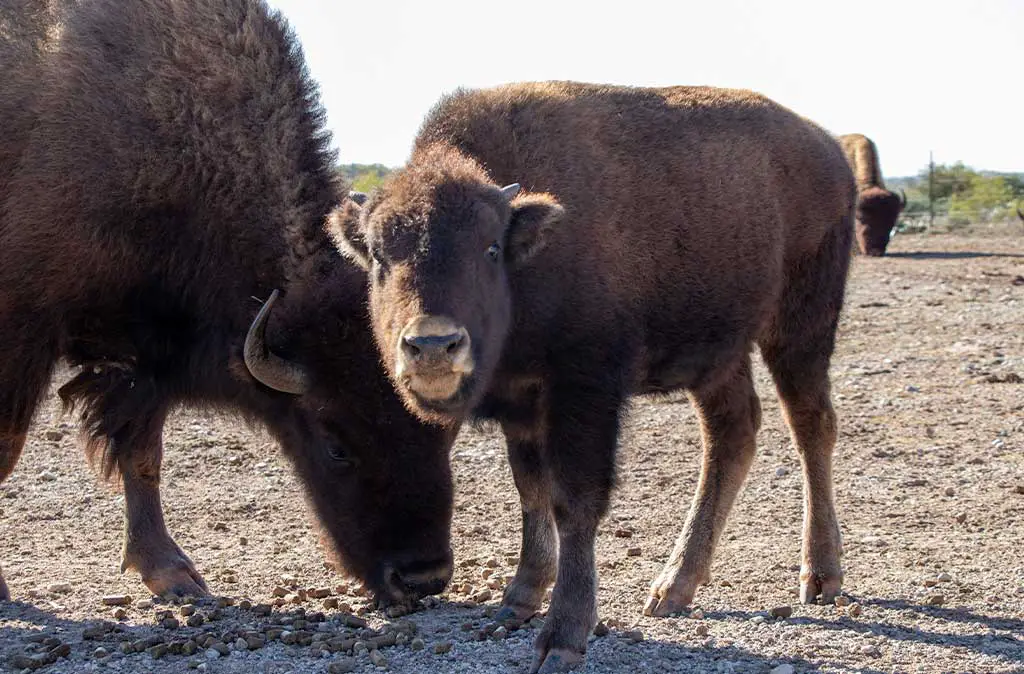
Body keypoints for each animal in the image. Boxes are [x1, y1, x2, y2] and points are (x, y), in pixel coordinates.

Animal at [0, 0, 456, 602]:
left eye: (447, 431)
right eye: (335, 445)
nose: (422, 577)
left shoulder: (149, 358)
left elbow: (143, 457)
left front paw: (172, 574)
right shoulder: (24, 330)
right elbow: (7, 449)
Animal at [335, 81, 856, 667]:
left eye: (490, 248)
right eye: (379, 257)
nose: (432, 345)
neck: (529, 254)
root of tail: (828, 147)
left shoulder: (583, 391)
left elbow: (573, 501)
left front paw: (562, 636)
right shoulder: (523, 402)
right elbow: (531, 490)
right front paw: (517, 602)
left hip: (801, 325)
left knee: (811, 426)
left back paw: (820, 576)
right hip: (719, 354)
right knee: (732, 434)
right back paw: (674, 586)